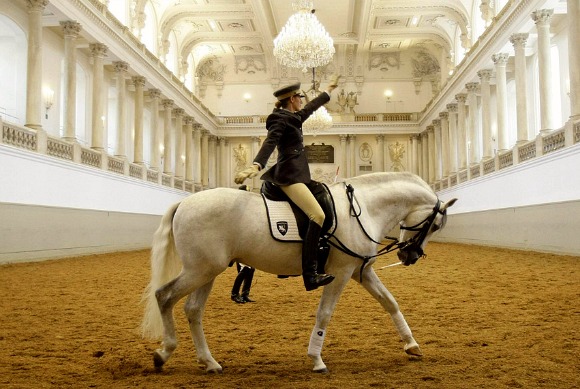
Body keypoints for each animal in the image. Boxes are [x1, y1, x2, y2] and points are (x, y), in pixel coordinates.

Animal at [142, 173, 458, 372]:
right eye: (435, 225)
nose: (409, 256)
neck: (363, 209)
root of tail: (185, 202)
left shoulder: (361, 271)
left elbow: (390, 302)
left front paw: (412, 345)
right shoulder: (341, 272)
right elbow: (324, 314)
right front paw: (316, 359)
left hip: (207, 272)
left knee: (192, 310)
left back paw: (208, 362)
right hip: (201, 270)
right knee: (164, 296)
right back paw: (164, 353)